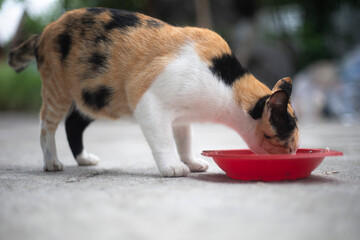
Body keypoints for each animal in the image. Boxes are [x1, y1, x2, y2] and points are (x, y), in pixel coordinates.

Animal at [9, 7, 300, 176]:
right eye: (289, 148)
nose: (293, 157)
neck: (227, 83)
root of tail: (44, 31)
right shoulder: (149, 102)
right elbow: (164, 141)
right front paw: (173, 167)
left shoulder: (182, 116)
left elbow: (184, 139)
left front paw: (191, 162)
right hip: (60, 90)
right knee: (46, 125)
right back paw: (51, 162)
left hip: (94, 97)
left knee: (73, 123)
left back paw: (83, 159)